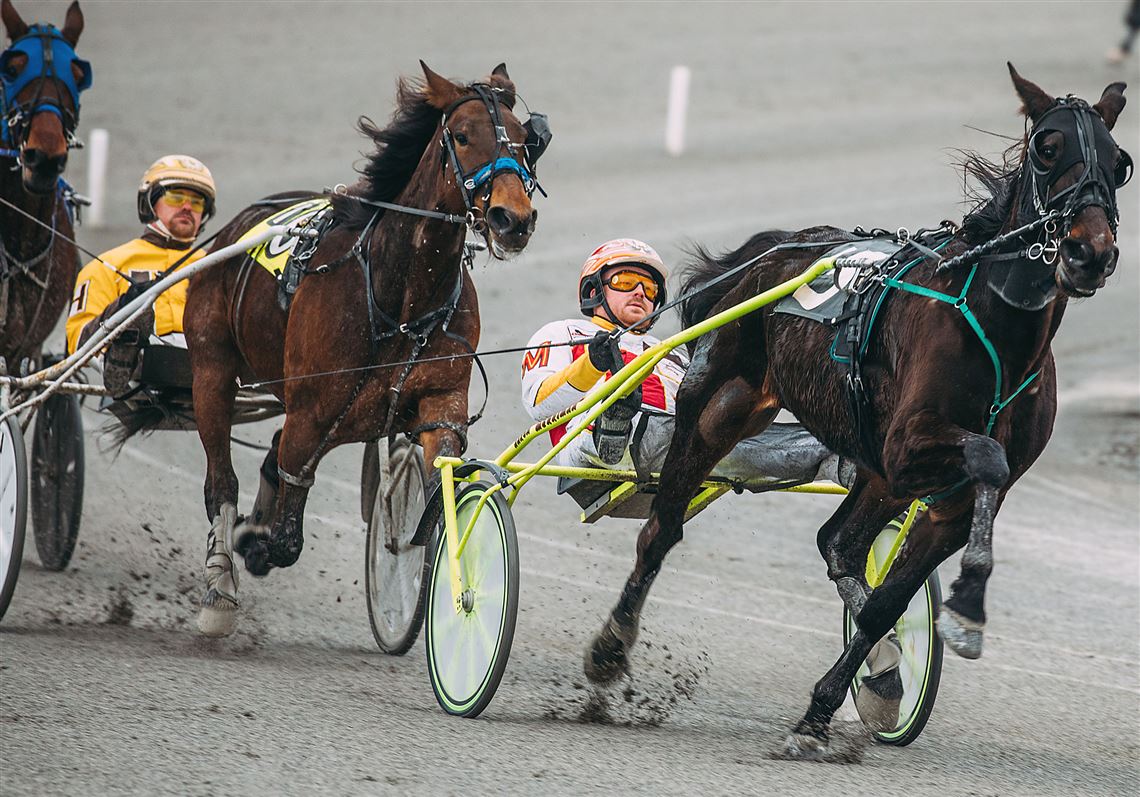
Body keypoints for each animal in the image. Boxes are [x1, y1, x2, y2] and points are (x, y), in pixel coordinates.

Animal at [184, 62, 544, 633]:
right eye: (463, 136)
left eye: (526, 139)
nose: (514, 219)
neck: (401, 303)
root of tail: (230, 232)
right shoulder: (313, 412)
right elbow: (287, 533)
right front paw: (257, 543)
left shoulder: (440, 405)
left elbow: (437, 490)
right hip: (212, 372)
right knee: (221, 480)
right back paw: (220, 587)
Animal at [583, 65, 1126, 757]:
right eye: (1048, 148)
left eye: (1121, 162)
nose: (1090, 252)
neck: (998, 332)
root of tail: (774, 250)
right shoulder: (910, 444)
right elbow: (986, 455)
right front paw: (969, 602)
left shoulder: (940, 494)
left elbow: (886, 601)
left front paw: (830, 708)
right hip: (718, 403)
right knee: (661, 529)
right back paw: (608, 650)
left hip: (873, 469)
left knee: (838, 543)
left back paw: (884, 671)